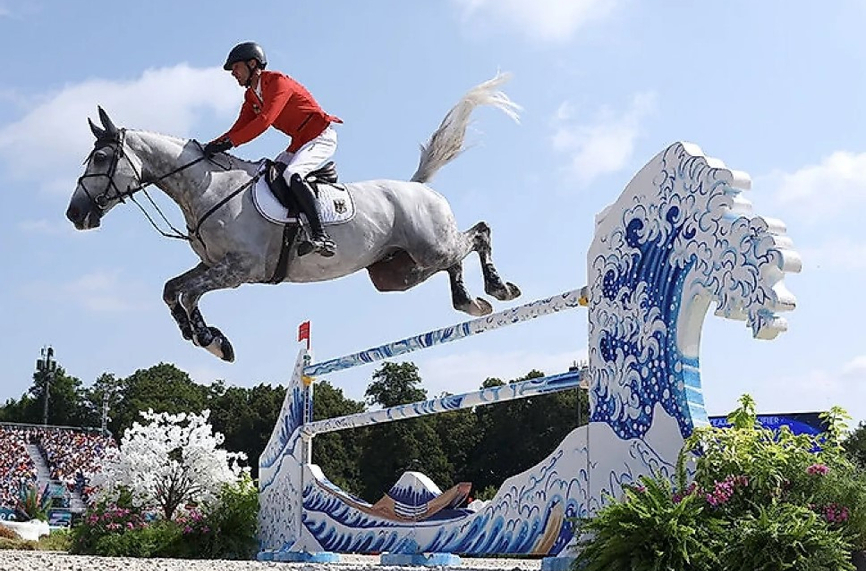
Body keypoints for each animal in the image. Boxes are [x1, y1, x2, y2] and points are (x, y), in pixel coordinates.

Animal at [66, 75, 520, 362]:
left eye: (102, 158)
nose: (74, 214)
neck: (207, 187)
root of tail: (418, 186)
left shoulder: (239, 269)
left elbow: (190, 293)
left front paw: (210, 340)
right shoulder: (212, 264)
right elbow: (172, 290)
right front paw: (206, 338)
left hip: (429, 247)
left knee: (477, 234)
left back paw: (498, 288)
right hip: (399, 272)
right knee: (454, 260)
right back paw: (469, 301)